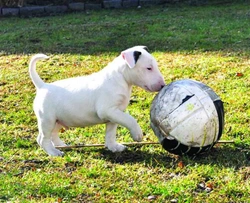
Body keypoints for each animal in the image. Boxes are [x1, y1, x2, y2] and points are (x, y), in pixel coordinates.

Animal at [29, 45, 165, 155]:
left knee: (51, 135)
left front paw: (114, 147)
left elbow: (111, 133)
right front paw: (137, 134)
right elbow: (129, 119)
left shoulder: (114, 114)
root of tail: (42, 86)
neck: (120, 78)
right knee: (43, 139)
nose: (163, 85)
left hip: (58, 120)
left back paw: (61, 145)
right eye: (149, 68)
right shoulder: (108, 110)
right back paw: (54, 152)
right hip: (47, 120)